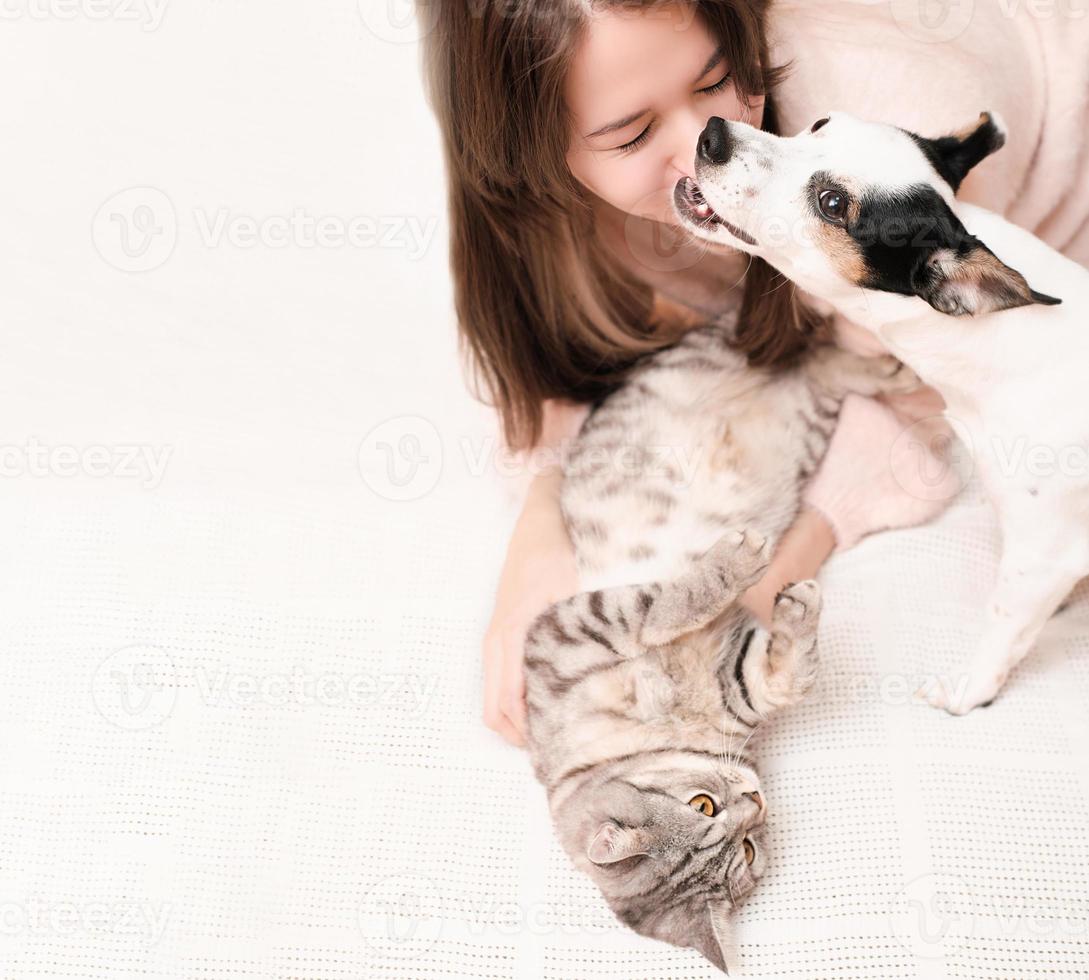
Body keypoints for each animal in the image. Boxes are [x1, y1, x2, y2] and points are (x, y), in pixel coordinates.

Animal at [522, 317, 914, 975]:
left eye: (702, 804)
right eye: (749, 849)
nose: (755, 801)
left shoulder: (568, 626)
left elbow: (657, 607)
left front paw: (732, 564)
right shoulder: (739, 681)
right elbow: (783, 673)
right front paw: (792, 603)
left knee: (810, 350)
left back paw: (889, 364)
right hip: (810, 418)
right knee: (818, 367)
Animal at [670, 111, 1089, 714]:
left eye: (832, 204)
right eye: (821, 123)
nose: (713, 135)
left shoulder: (1042, 554)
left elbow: (1004, 621)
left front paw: (970, 690)